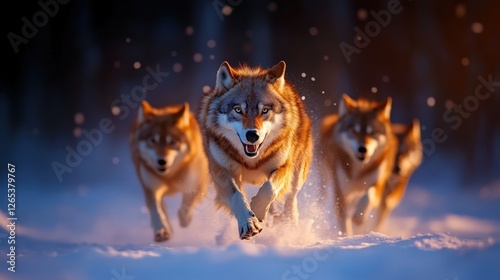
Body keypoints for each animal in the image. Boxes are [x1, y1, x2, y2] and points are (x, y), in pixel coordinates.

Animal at [131, 101, 209, 243]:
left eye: (172, 142)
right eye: (153, 141)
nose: (162, 161)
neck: (169, 177)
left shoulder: (197, 184)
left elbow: (187, 205)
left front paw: (184, 220)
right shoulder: (151, 189)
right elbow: (157, 211)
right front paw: (162, 231)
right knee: (163, 208)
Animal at [199, 60, 312, 240]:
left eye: (264, 110)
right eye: (238, 110)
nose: (252, 135)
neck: (252, 161)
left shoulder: (283, 167)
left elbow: (269, 189)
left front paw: (257, 212)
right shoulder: (221, 171)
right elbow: (238, 197)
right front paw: (249, 223)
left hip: (296, 175)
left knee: (291, 198)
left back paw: (290, 225)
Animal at [320, 94, 398, 236]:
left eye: (372, 133)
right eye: (354, 131)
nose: (363, 149)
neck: (359, 170)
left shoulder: (378, 184)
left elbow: (369, 195)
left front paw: (359, 216)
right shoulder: (340, 193)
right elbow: (344, 224)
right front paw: (347, 237)